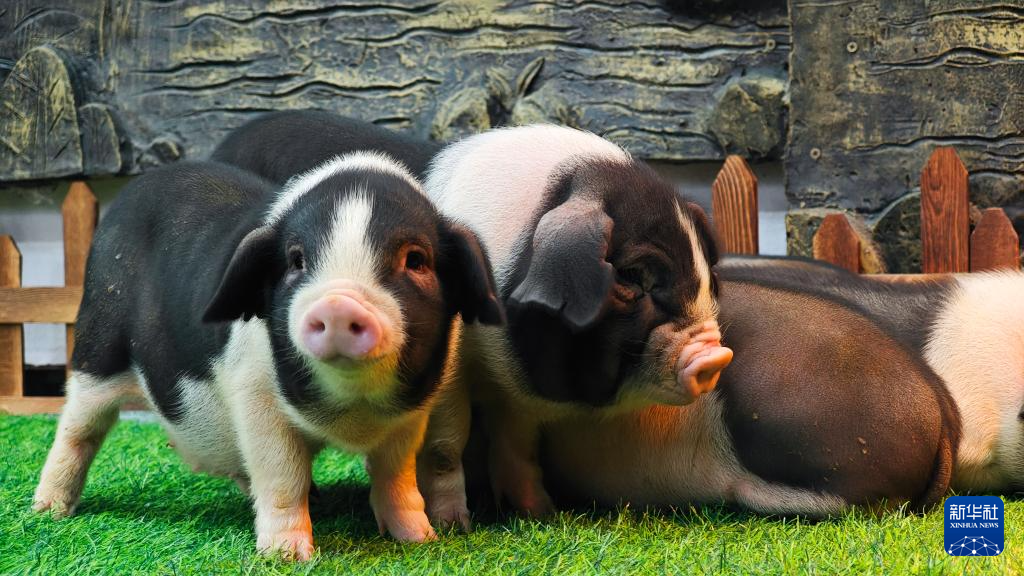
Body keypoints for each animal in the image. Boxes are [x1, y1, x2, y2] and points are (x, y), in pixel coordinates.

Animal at [32, 154, 504, 560]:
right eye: (296, 260)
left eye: (416, 259)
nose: (338, 304)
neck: (350, 411)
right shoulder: (255, 395)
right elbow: (282, 475)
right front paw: (287, 556)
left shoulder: (411, 415)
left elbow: (396, 477)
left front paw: (422, 539)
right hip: (97, 347)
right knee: (77, 429)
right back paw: (48, 511)